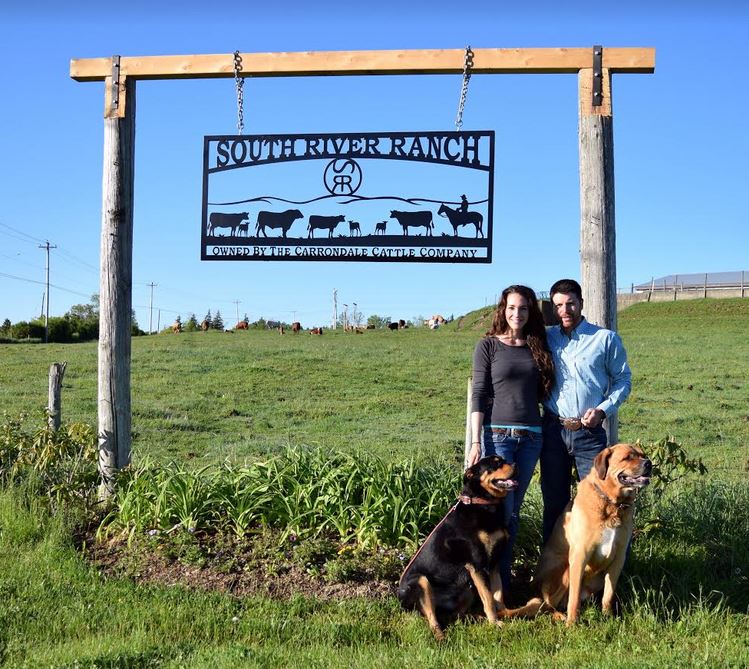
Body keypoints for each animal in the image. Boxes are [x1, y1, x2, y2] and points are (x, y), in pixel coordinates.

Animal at [398, 456, 516, 640]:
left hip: (467, 589)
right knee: (432, 618)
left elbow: (498, 593)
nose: (515, 465)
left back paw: (476, 618)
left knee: (455, 615)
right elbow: (489, 598)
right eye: (496, 463)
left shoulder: (494, 563)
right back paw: (441, 636)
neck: (483, 504)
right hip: (421, 582)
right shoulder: (478, 565)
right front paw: (495, 623)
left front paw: (504, 614)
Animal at [496, 444, 648, 628]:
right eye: (628, 457)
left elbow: (608, 594)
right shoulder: (580, 555)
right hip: (565, 570)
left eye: (643, 455)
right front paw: (572, 623)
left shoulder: (618, 558)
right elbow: (573, 598)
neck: (612, 504)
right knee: (547, 605)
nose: (649, 463)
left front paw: (609, 617)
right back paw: (560, 616)